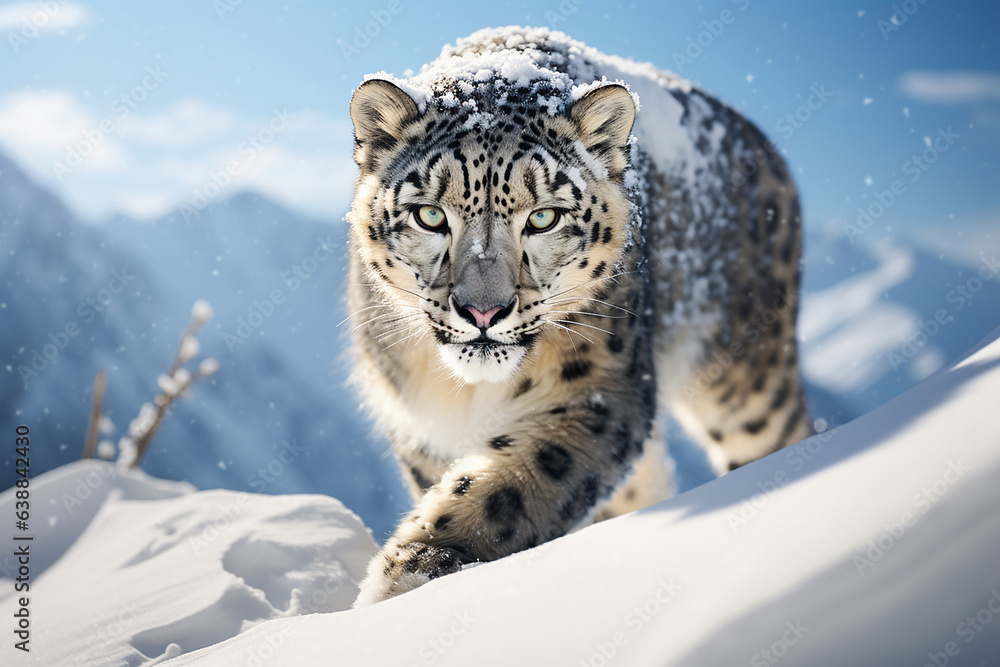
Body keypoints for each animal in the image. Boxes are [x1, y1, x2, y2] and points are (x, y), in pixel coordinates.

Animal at [345, 26, 812, 606]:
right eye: (430, 215)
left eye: (544, 217)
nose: (483, 310)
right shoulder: (417, 425)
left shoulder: (597, 390)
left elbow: (510, 488)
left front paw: (404, 577)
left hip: (749, 383)